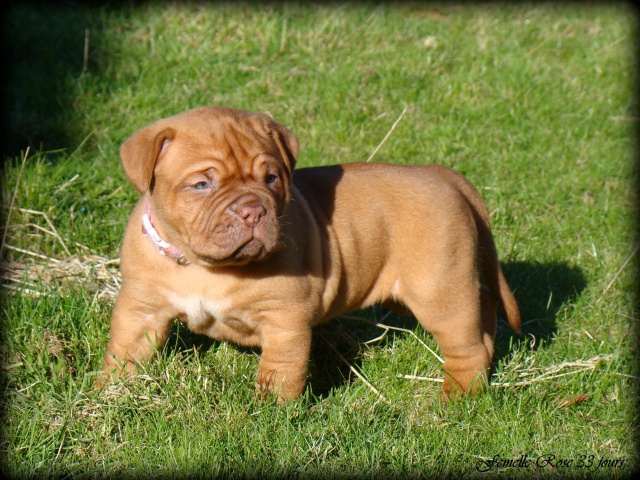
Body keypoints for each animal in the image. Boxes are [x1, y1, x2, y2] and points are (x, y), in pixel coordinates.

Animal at [105, 108, 524, 402]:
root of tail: (445, 176)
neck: (204, 267)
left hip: (437, 288)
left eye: (271, 178)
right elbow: (123, 351)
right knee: (483, 305)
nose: (253, 210)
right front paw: (108, 393)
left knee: (465, 343)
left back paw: (456, 397)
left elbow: (279, 371)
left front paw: (270, 415)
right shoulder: (141, 309)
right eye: (201, 185)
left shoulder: (284, 319)